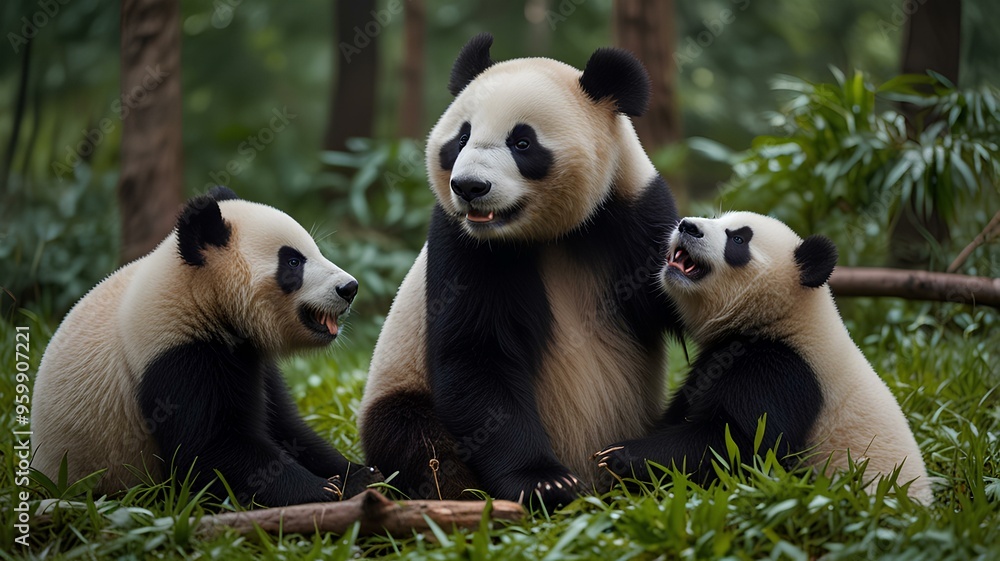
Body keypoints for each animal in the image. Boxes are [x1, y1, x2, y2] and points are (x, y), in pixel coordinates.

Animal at [32, 187, 382, 506]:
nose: (349, 287)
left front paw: (361, 473)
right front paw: (328, 489)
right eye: (294, 261)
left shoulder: (250, 355)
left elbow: (286, 426)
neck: (198, 293)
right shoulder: (174, 355)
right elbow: (212, 451)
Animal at [359, 33, 681, 510]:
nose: (470, 187)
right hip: (398, 383)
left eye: (522, 142)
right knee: (409, 433)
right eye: (462, 137)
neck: (553, 234)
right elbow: (477, 355)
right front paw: (544, 482)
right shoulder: (461, 243)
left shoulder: (636, 214)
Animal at [594, 212, 933, 504]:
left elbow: (741, 446)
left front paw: (619, 456)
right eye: (718, 218)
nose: (687, 226)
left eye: (738, 240)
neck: (784, 318)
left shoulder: (785, 372)